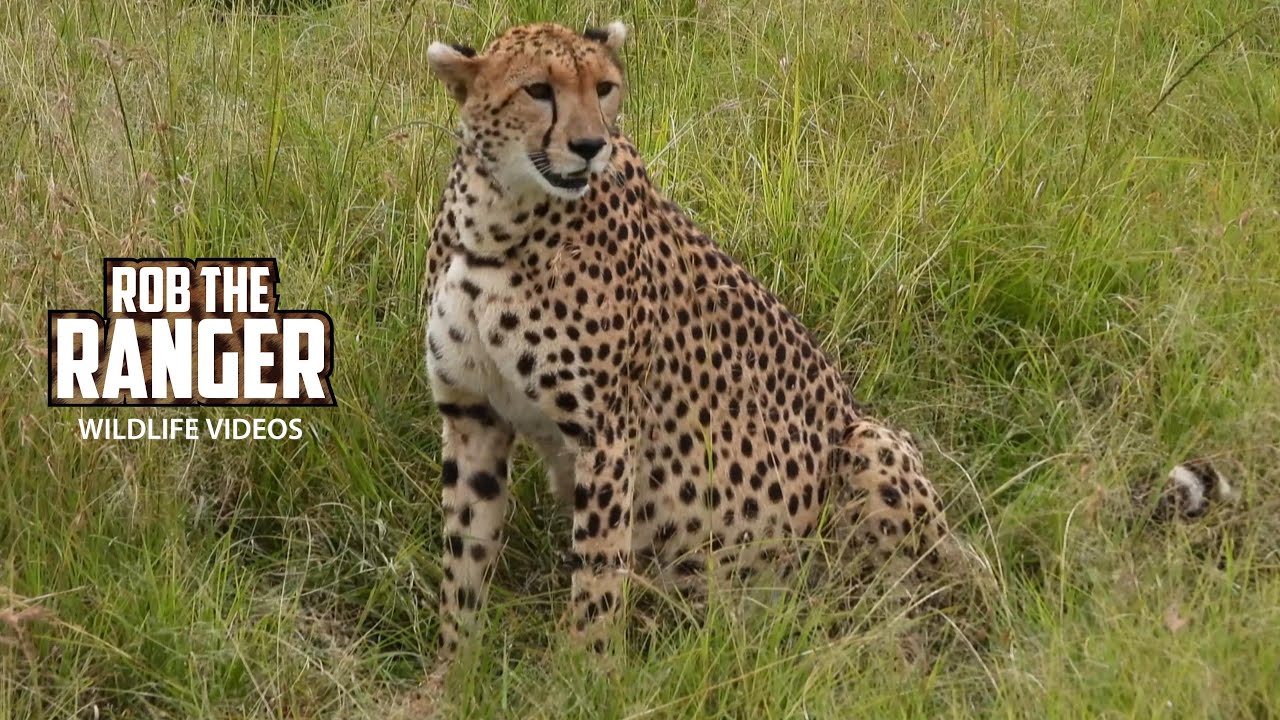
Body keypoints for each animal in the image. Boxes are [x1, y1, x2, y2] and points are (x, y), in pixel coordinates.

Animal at [421, 20, 992, 663]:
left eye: (605, 87)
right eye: (538, 90)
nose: (591, 145)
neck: (496, 222)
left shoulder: (608, 432)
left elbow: (597, 574)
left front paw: (587, 670)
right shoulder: (472, 416)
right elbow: (464, 560)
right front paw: (453, 668)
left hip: (869, 446)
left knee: (903, 608)